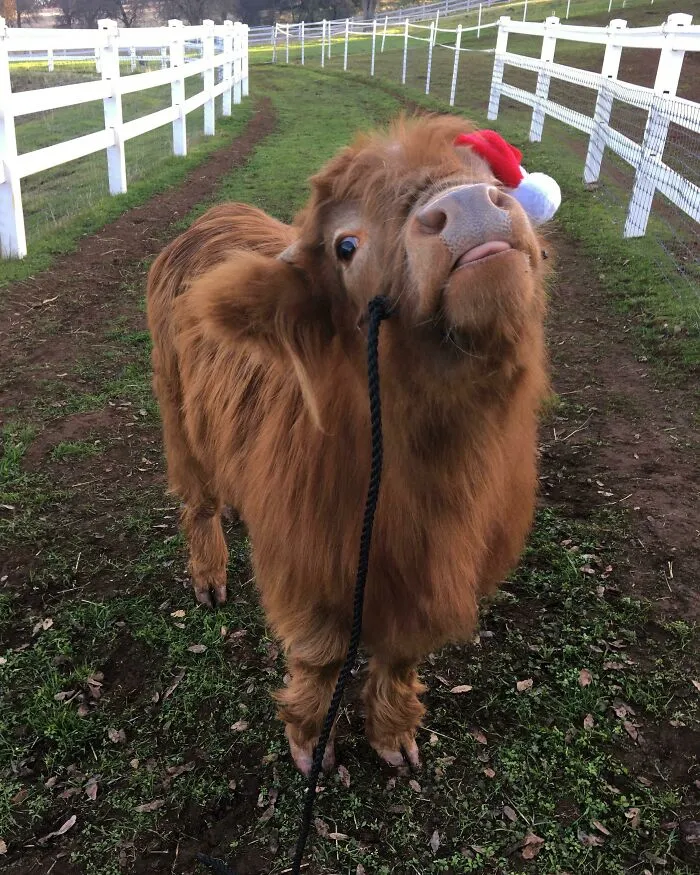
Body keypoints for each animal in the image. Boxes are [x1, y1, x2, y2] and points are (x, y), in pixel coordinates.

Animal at [146, 114, 550, 774]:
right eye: (346, 245)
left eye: (488, 178)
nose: (468, 206)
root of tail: (214, 215)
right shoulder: (310, 569)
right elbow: (320, 659)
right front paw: (311, 743)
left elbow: (401, 656)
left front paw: (394, 735)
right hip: (178, 411)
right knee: (197, 500)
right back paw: (209, 577)